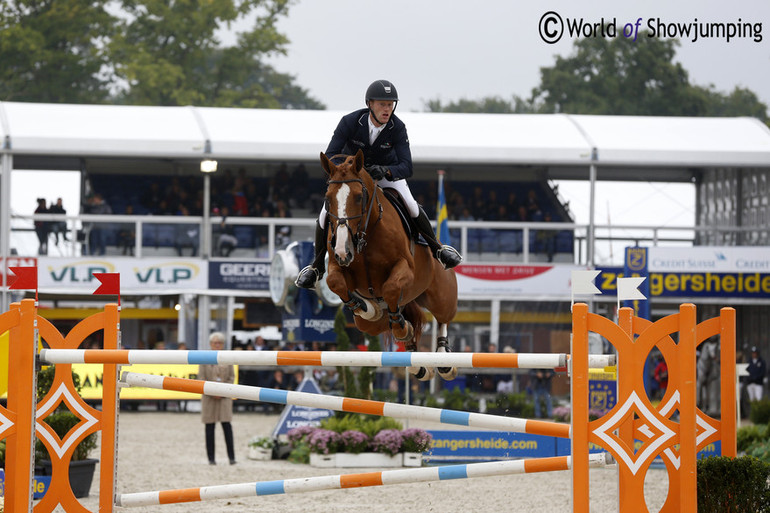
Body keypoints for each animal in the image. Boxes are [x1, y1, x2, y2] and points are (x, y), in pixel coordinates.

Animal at [318, 149, 456, 380]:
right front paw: (366, 307)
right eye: (328, 199)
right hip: (369, 326)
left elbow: (391, 287)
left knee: (443, 318)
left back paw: (443, 358)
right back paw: (416, 363)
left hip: (441, 295)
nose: (343, 250)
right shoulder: (338, 266)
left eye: (359, 196)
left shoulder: (405, 268)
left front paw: (401, 326)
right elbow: (334, 282)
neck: (365, 235)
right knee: (385, 322)